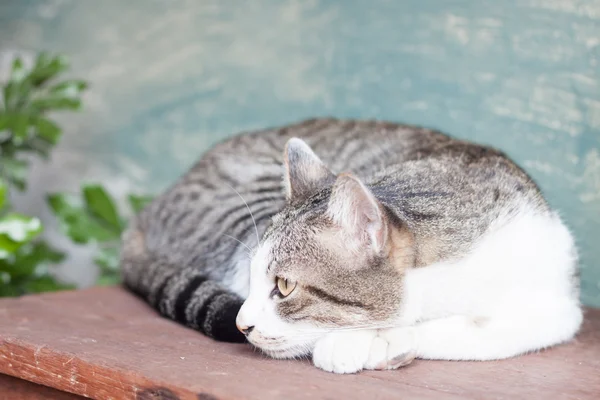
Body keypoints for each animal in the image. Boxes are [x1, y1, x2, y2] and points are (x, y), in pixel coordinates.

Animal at [119, 117, 584, 374]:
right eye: (256, 281)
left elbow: (476, 331)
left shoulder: (557, 308)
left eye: (284, 286)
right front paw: (364, 340)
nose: (241, 324)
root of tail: (146, 210)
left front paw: (378, 339)